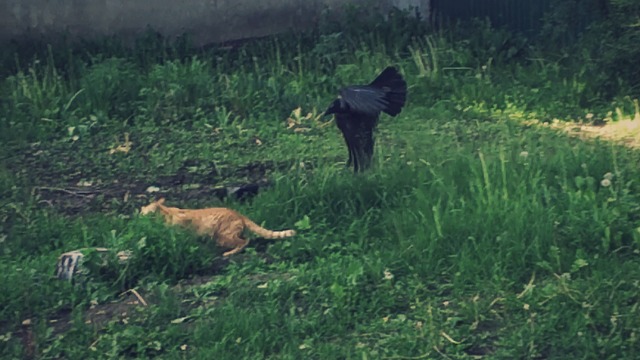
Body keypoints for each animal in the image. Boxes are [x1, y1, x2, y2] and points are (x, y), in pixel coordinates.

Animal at [140, 197, 296, 258]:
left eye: (148, 213)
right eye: (141, 213)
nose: (141, 218)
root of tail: (238, 213)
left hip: (223, 236)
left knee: (244, 241)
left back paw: (229, 253)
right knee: (246, 237)